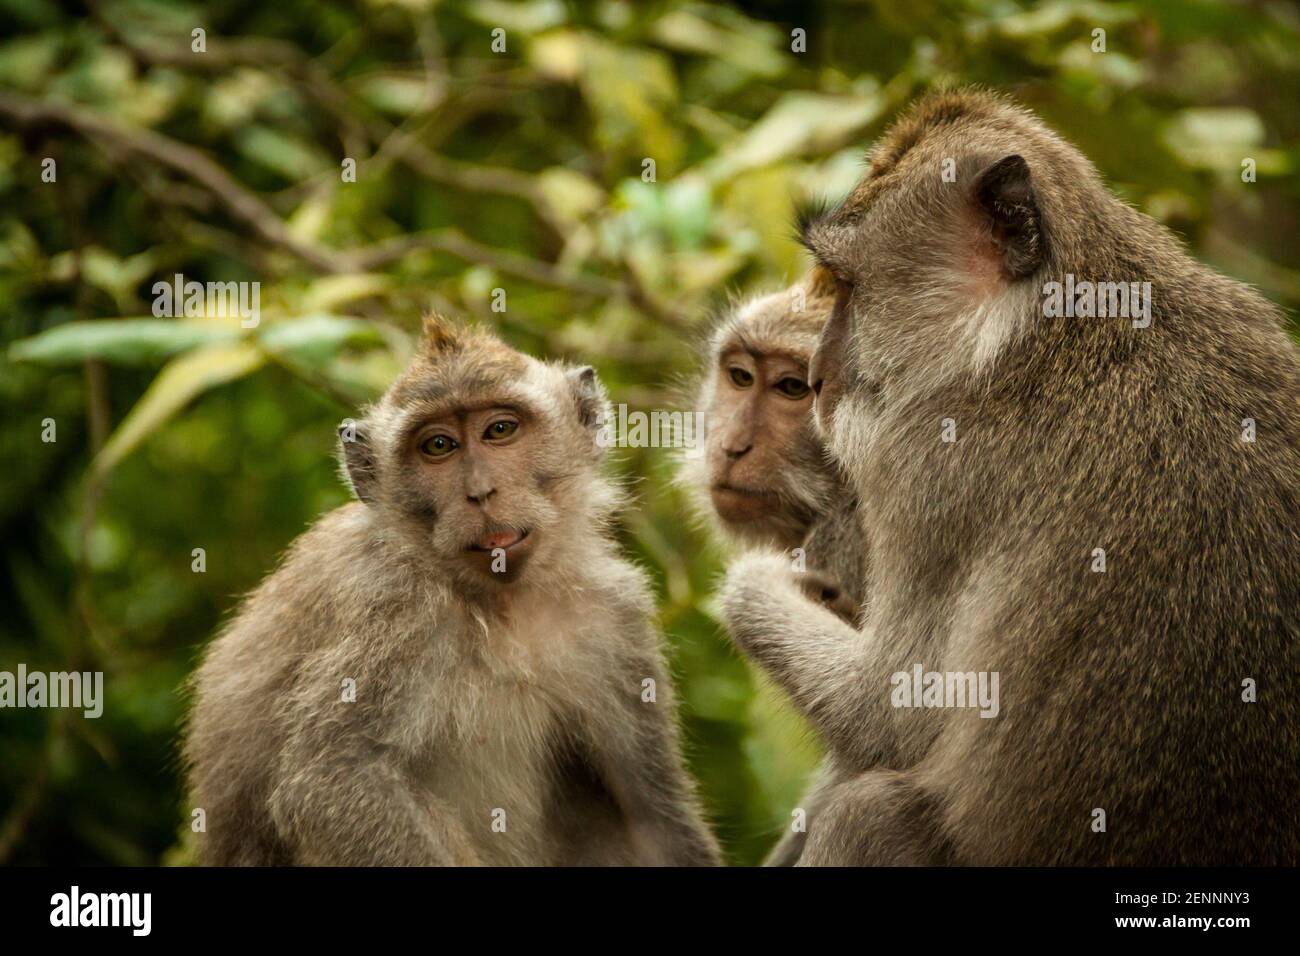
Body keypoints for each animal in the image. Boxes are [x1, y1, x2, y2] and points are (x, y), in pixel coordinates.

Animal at [184, 316, 722, 867]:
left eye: (500, 430)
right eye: (438, 447)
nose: (480, 492)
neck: (503, 604)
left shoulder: (616, 613)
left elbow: (654, 810)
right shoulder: (395, 604)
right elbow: (332, 777)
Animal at [720, 89, 1300, 866]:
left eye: (850, 287)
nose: (819, 376)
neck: (1045, 331)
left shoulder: (922, 470)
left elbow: (886, 716)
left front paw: (760, 581)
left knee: (868, 815)